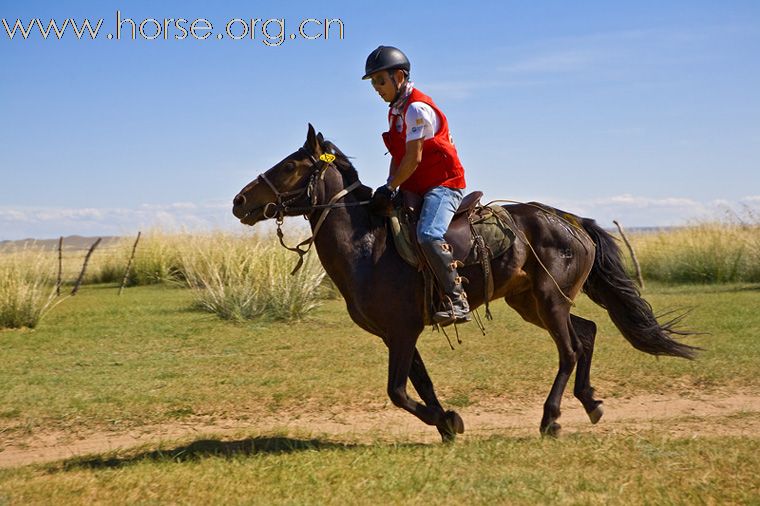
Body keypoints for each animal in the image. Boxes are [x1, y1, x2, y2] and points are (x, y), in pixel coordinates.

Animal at [232, 124, 700, 440]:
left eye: (290, 166)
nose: (239, 201)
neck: (368, 243)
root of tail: (571, 221)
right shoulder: (396, 334)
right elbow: (419, 384)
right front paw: (446, 424)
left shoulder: (403, 331)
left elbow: (397, 391)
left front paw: (448, 421)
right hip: (531, 303)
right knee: (586, 334)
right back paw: (591, 402)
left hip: (550, 301)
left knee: (569, 350)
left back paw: (551, 418)